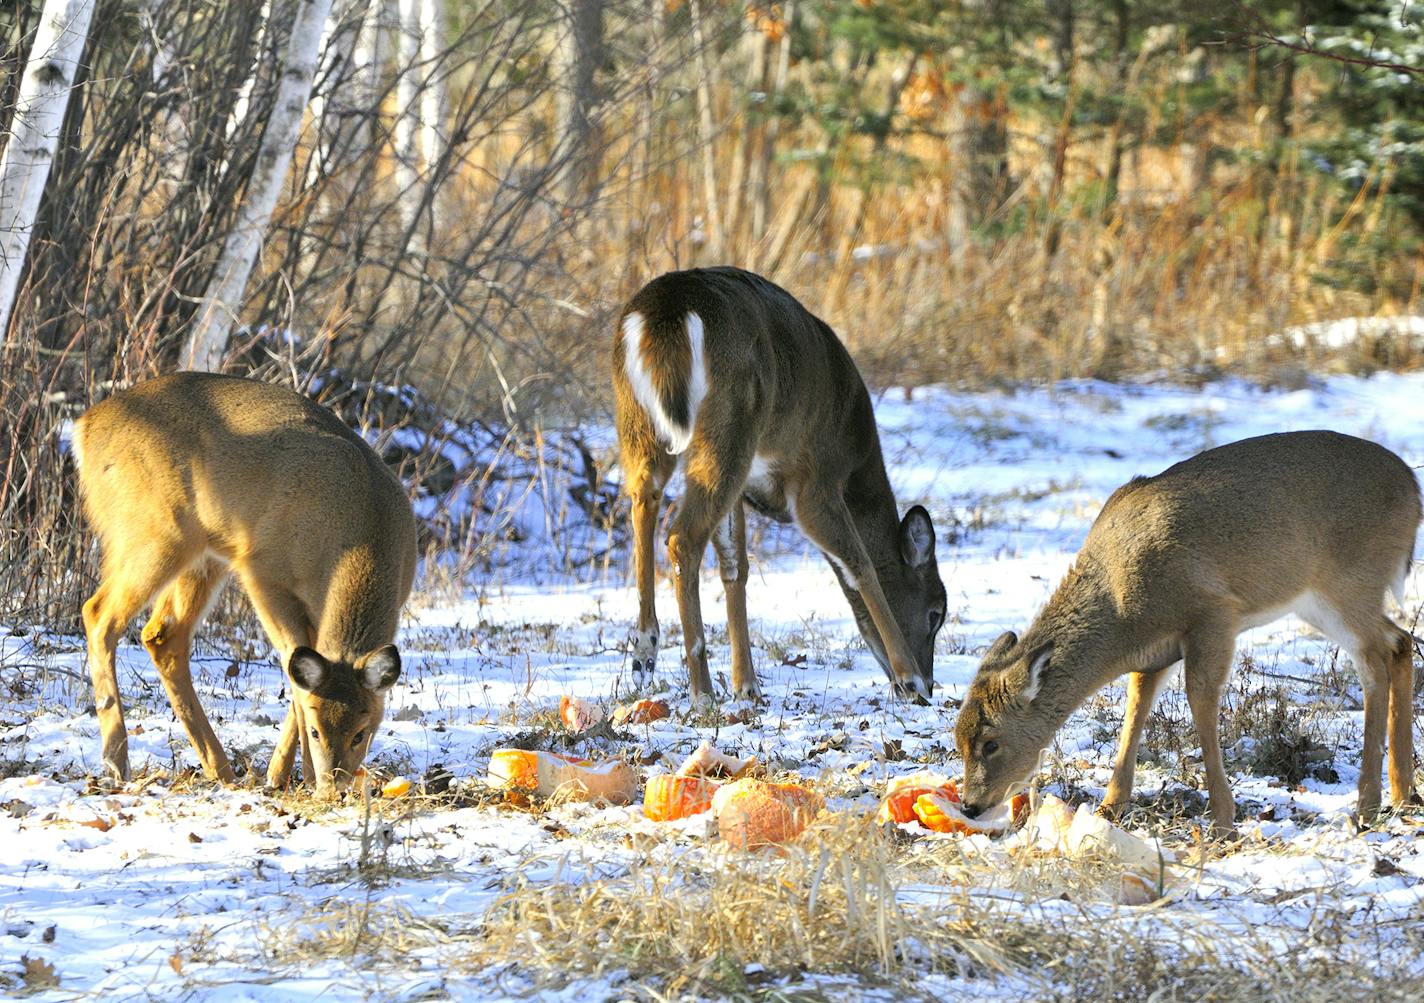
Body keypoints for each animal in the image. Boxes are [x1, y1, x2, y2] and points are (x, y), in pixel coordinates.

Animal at [72, 373, 415, 797]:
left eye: (362, 732)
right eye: (316, 731)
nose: (333, 787)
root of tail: (85, 427)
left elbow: (301, 671)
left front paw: (282, 775)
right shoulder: (263, 572)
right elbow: (293, 665)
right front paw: (294, 775)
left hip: (203, 554)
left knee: (162, 634)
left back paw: (220, 769)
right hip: (153, 531)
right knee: (98, 613)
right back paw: (117, 762)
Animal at [612, 266, 945, 706]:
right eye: (936, 613)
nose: (931, 684)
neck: (856, 463)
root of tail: (664, 312)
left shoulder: (748, 488)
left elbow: (736, 568)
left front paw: (746, 685)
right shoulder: (815, 480)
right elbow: (860, 563)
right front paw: (909, 678)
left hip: (640, 426)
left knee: (643, 501)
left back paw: (644, 651)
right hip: (731, 425)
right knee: (682, 536)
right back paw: (701, 691)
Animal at [951, 430, 1418, 837]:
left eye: (990, 743)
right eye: (958, 738)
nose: (971, 805)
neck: (1121, 610)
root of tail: (1413, 488)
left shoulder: (1214, 614)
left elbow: (1200, 701)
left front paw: (1223, 820)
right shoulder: (1155, 653)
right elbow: (1135, 708)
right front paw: (1110, 807)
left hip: (1349, 581)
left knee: (1373, 664)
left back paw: (1368, 803)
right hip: (1318, 599)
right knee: (1399, 642)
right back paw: (1401, 793)